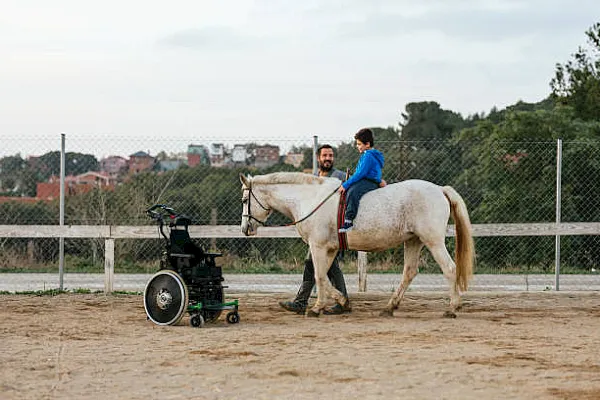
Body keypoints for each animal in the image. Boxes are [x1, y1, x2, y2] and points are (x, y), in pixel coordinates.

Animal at [239, 172, 474, 318]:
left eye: (244, 200)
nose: (245, 229)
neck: (310, 199)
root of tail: (440, 189)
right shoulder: (329, 249)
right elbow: (322, 275)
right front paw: (335, 303)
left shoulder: (318, 245)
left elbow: (319, 276)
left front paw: (319, 307)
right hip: (413, 240)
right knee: (409, 271)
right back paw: (390, 307)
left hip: (432, 240)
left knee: (450, 269)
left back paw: (452, 308)